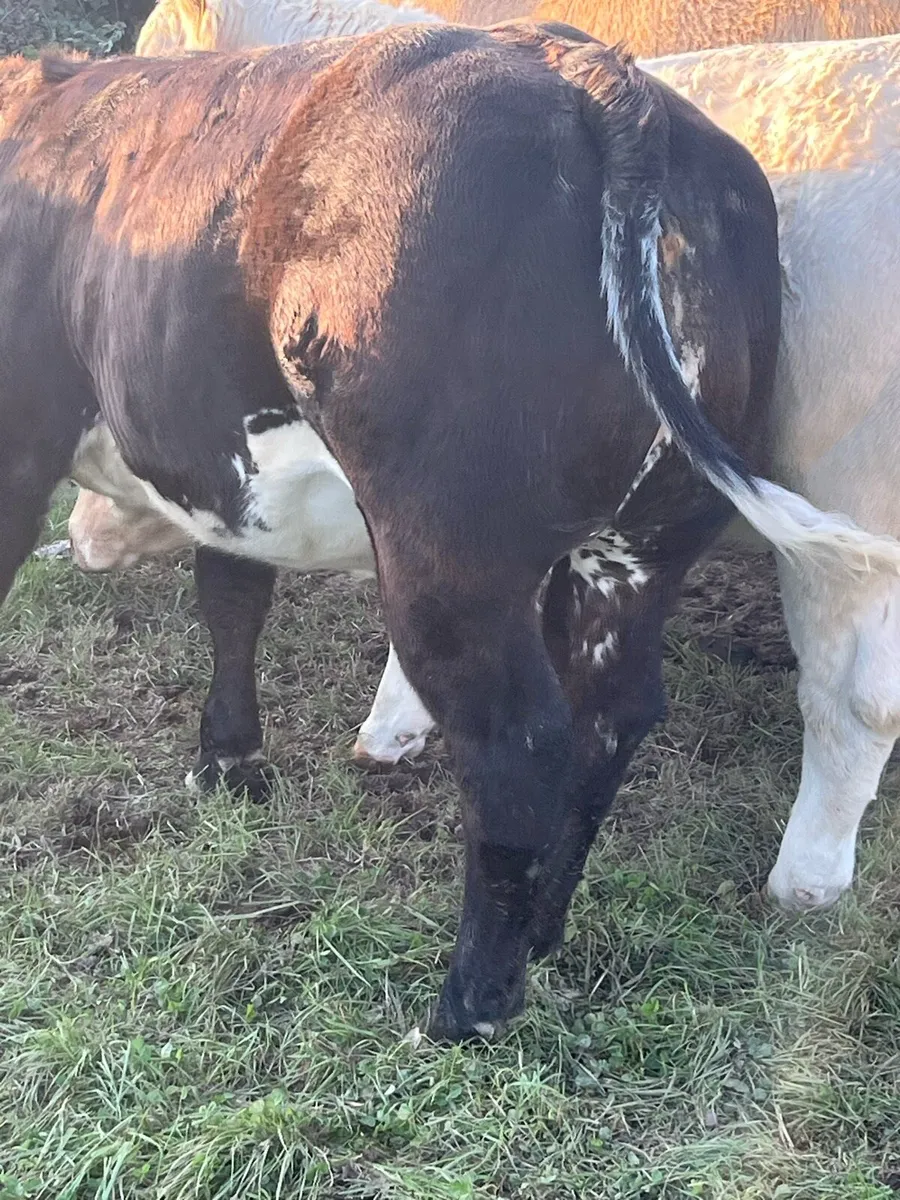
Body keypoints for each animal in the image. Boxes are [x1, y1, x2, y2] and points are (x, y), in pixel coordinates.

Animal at [5, 23, 899, 1037]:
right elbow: (232, 596)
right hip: (642, 541)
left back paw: (471, 1004)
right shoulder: (225, 474)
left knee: (525, 743)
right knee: (611, 714)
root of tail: (592, 71)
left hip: (453, 547)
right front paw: (229, 761)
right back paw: (542, 930)